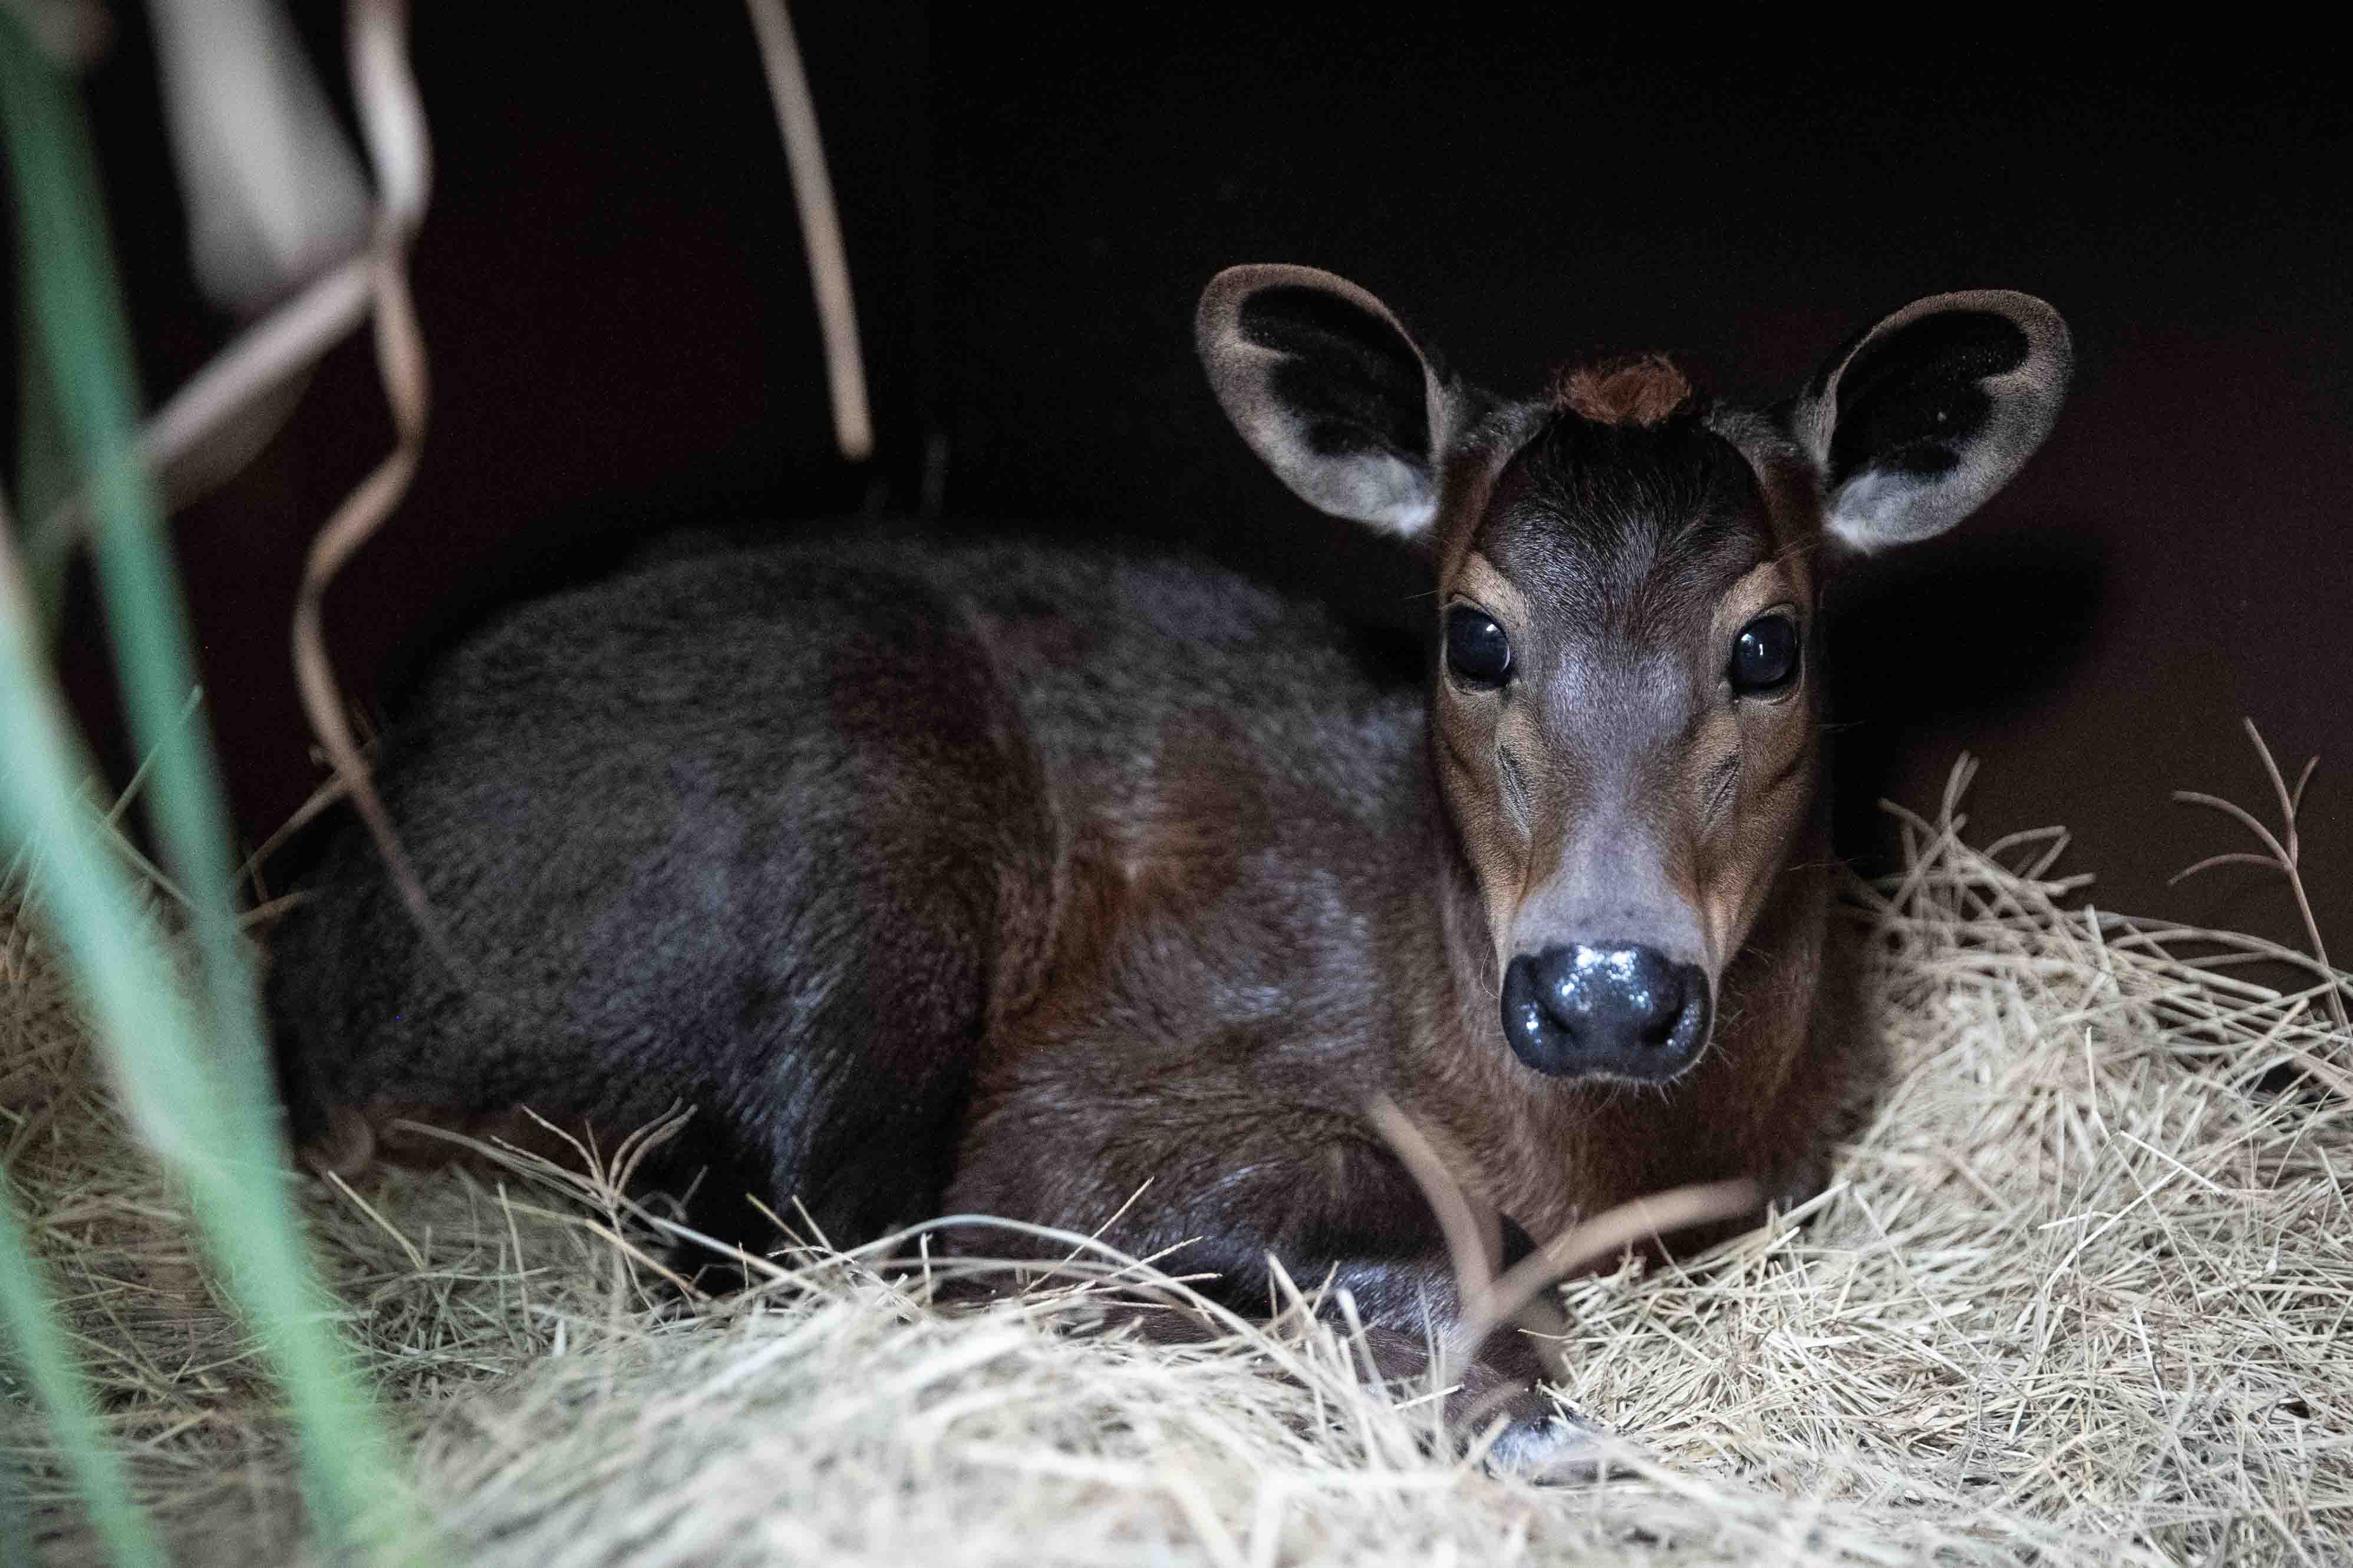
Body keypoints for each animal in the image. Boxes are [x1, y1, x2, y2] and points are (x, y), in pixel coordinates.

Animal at [267, 263, 2070, 1476]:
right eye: (1473, 633)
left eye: (1769, 643)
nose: (1606, 987)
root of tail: (326, 961)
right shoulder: (1082, 1106)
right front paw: (1471, 1377)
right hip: (861, 810)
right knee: (805, 1243)